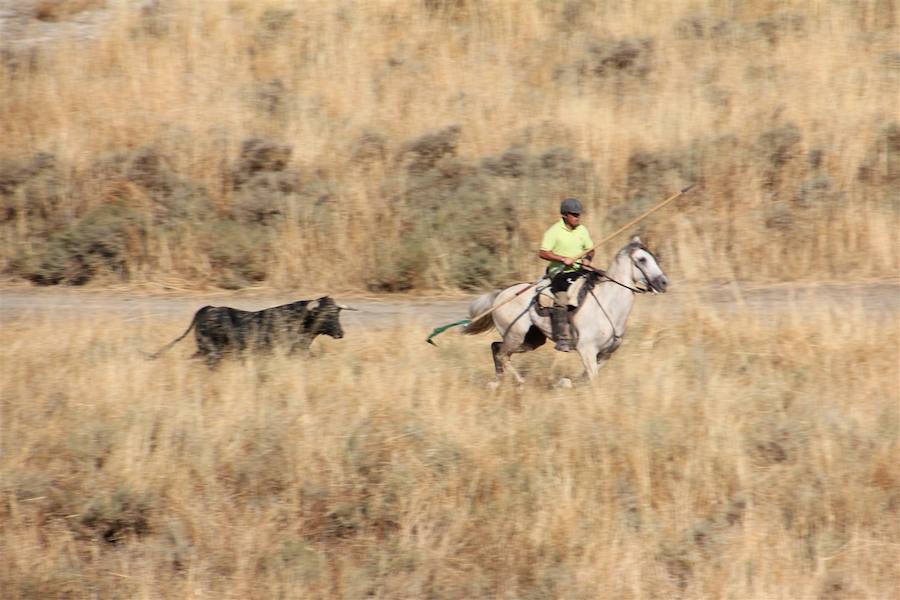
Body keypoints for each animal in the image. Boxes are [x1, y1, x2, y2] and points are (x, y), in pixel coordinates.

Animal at [147, 296, 352, 366]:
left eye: (337, 313)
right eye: (325, 314)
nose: (340, 333)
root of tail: (210, 308)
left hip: (205, 351)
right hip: (212, 352)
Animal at [464, 236, 668, 384]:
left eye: (653, 258)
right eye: (642, 259)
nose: (664, 283)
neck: (608, 305)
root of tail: (501, 294)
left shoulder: (605, 354)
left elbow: (586, 377)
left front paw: (566, 383)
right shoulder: (587, 350)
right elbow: (593, 379)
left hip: (530, 340)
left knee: (496, 348)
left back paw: (499, 381)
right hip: (515, 336)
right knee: (501, 353)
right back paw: (519, 382)